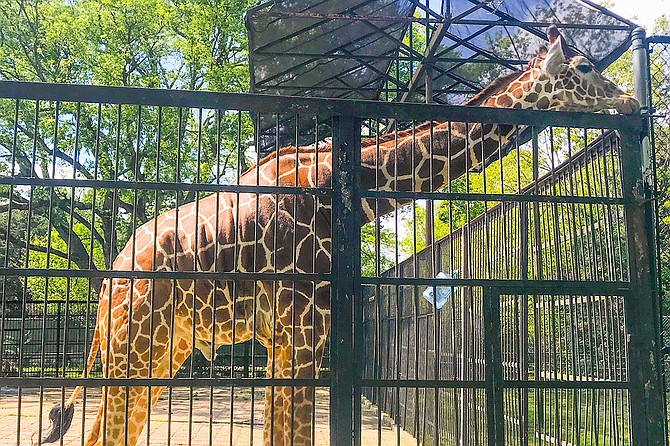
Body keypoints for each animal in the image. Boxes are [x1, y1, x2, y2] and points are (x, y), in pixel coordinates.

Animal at [40, 27, 640, 446]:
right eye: (585, 66)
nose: (631, 101)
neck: (346, 191)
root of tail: (104, 288)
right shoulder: (307, 332)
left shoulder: (286, 340)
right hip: (135, 347)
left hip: (166, 350)